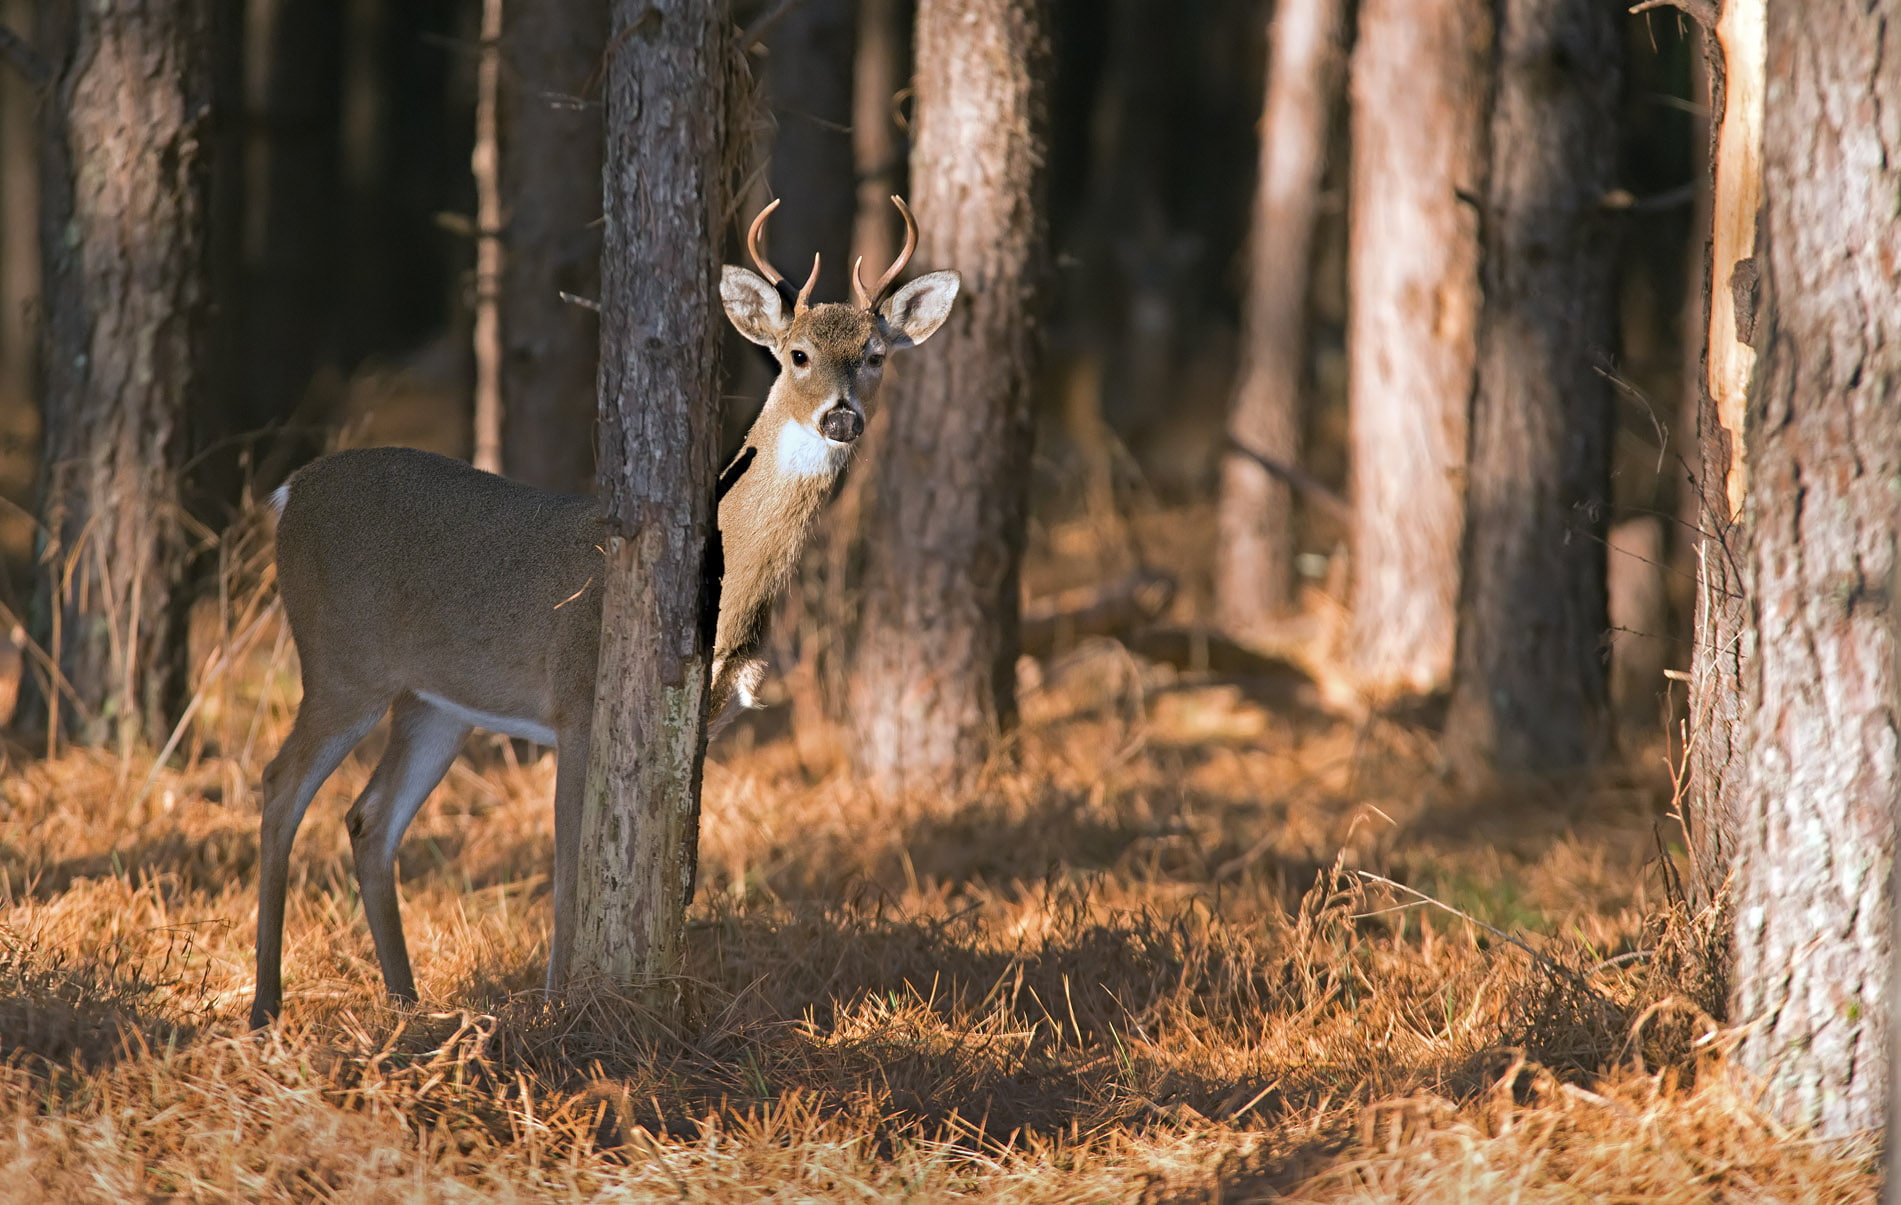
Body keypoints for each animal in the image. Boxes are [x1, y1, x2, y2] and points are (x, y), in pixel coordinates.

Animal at [250, 198, 959, 1028]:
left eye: (875, 355)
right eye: (796, 355)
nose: (840, 419)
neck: (730, 600)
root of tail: (288, 493)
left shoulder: (701, 726)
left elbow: (676, 868)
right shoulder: (578, 704)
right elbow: (570, 870)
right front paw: (559, 1008)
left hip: (435, 702)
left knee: (369, 818)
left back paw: (407, 1004)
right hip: (341, 660)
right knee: (279, 784)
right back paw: (267, 1004)